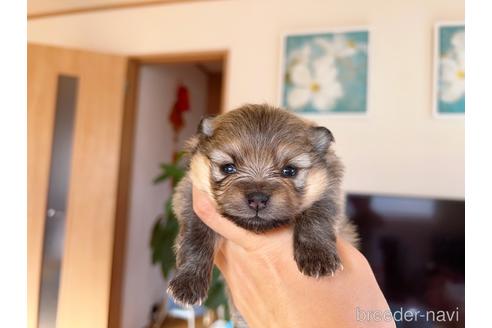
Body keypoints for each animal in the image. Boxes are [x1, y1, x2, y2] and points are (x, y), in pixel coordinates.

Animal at [168, 104, 358, 308]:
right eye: (228, 168)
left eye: (289, 171)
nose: (257, 199)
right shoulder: (189, 197)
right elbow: (195, 238)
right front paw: (188, 280)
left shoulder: (327, 191)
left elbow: (317, 216)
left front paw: (317, 255)